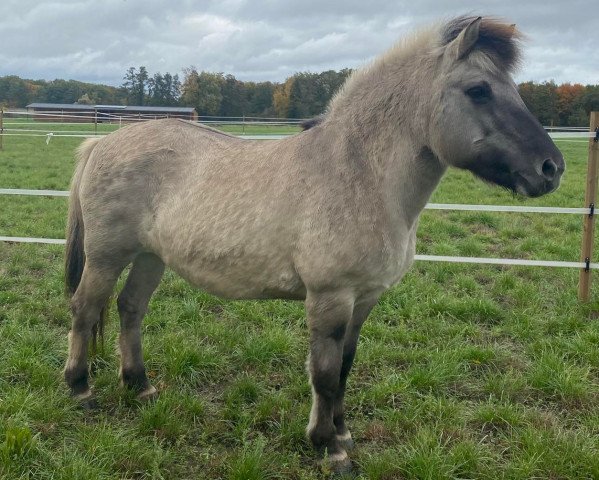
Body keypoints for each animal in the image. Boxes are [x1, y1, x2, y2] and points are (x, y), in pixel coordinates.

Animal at [64, 15, 564, 476]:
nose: (550, 168)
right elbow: (323, 374)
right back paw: (80, 388)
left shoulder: (365, 298)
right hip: (106, 257)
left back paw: (140, 386)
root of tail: (101, 142)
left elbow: (345, 366)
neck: (360, 176)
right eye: (479, 89)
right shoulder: (330, 297)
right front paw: (328, 448)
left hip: (151, 258)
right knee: (85, 309)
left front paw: (342, 433)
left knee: (130, 309)